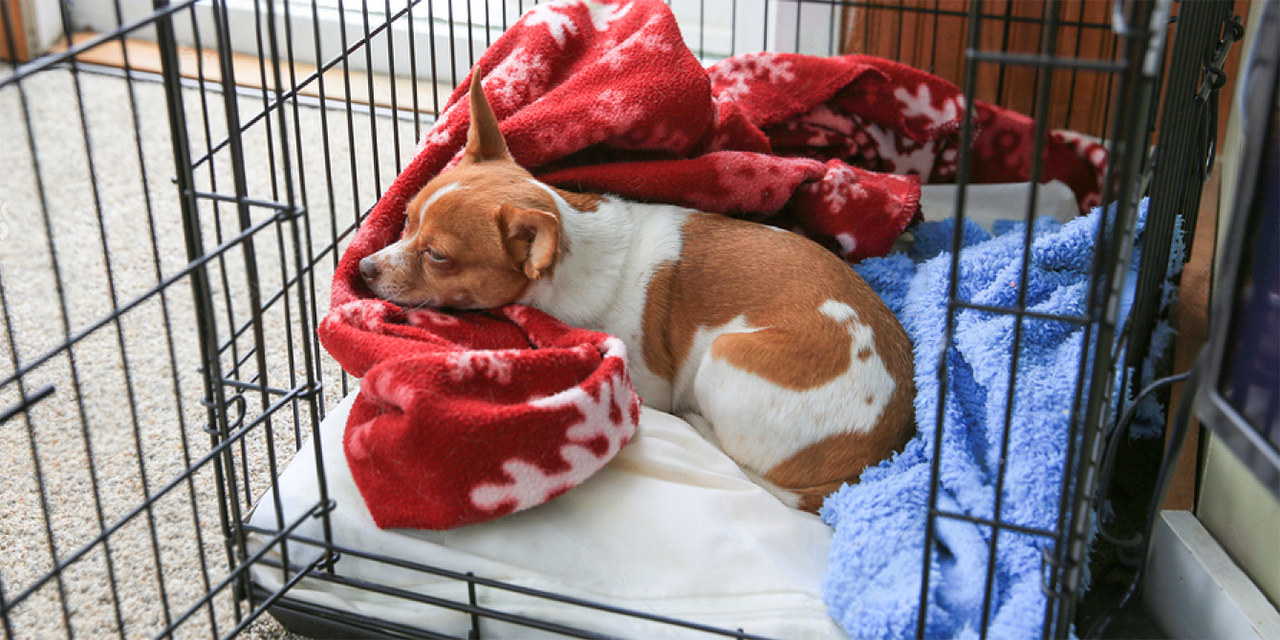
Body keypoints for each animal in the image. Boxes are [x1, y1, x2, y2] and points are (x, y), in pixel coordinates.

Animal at [360, 71, 916, 509]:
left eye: (438, 257)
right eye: (406, 220)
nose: (364, 267)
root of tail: (869, 460)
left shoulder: (649, 380)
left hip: (726, 354)